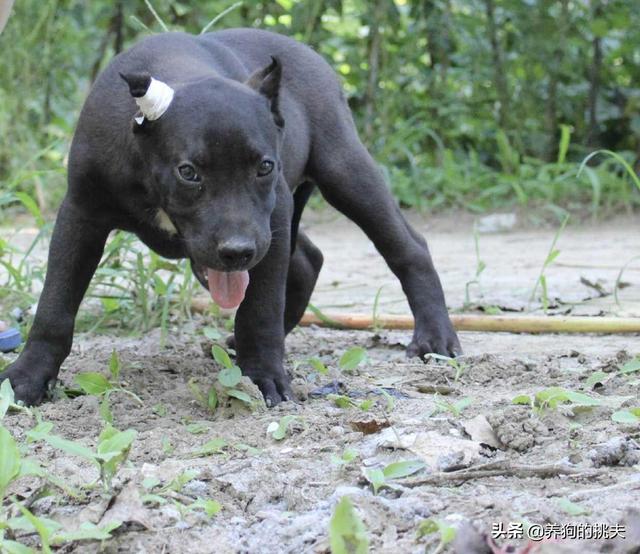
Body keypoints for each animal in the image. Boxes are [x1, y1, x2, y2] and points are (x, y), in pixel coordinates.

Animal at [1, 28, 460, 404]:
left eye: (264, 167)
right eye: (188, 172)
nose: (238, 252)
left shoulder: (272, 217)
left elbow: (260, 306)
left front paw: (262, 376)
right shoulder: (81, 213)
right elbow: (56, 303)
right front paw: (26, 379)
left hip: (343, 171)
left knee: (407, 247)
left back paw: (435, 337)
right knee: (307, 259)